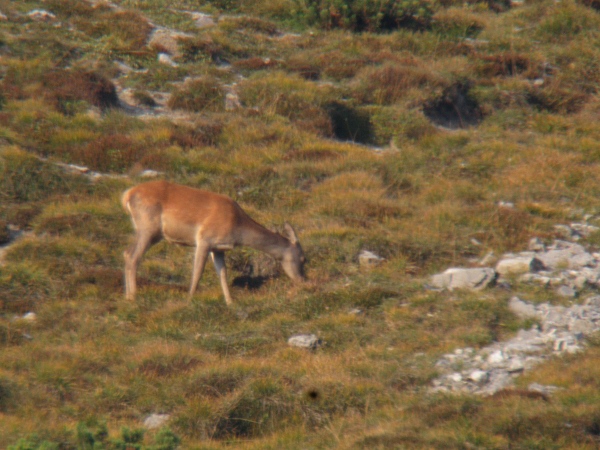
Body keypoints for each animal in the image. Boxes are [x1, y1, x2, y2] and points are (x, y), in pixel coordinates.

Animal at [120, 181, 304, 304]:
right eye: (303, 258)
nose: (303, 280)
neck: (238, 227)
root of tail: (127, 195)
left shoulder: (218, 248)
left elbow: (222, 273)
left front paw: (230, 302)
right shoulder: (204, 240)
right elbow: (197, 272)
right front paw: (189, 299)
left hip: (150, 233)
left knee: (127, 253)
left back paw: (128, 296)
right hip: (148, 229)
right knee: (133, 256)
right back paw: (133, 296)